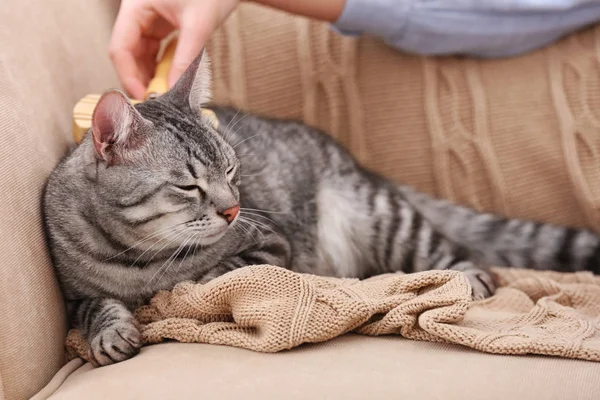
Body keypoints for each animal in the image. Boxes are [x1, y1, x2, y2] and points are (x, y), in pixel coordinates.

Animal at [43, 51, 600, 368]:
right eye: (188, 186)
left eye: (232, 172)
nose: (234, 210)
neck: (136, 257)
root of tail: (356, 162)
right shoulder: (73, 294)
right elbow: (92, 306)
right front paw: (111, 331)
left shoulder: (270, 241)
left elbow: (217, 273)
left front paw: (182, 286)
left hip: (380, 216)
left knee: (457, 256)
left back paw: (467, 280)